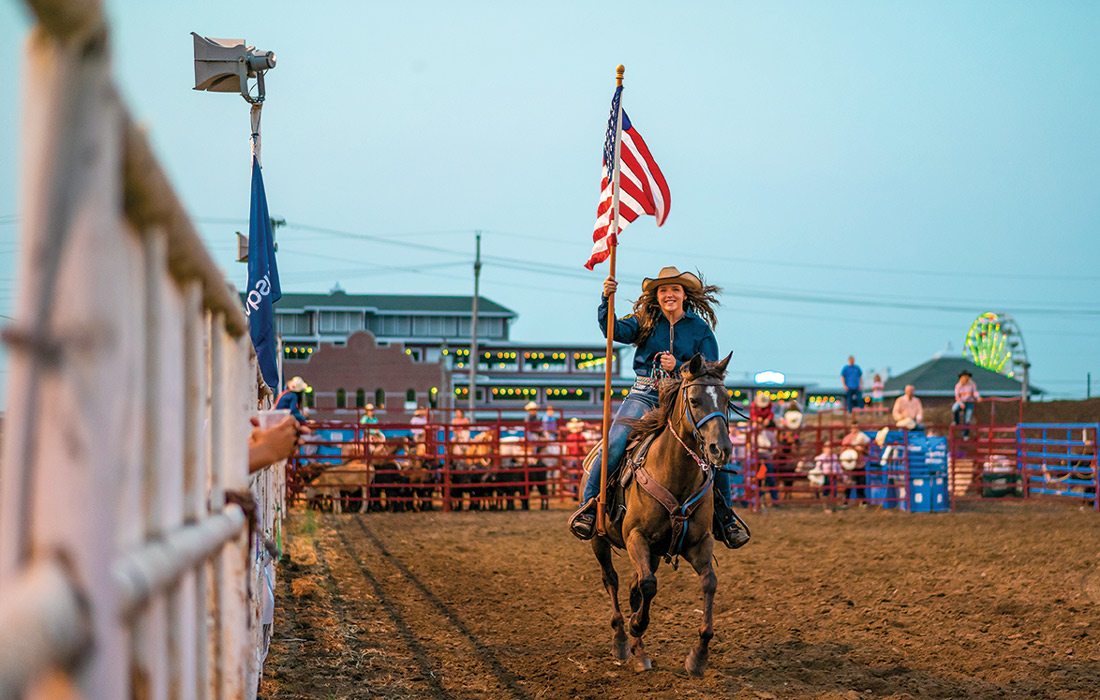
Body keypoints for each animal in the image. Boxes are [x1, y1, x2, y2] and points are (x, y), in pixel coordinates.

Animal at [589, 352, 734, 673]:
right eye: (694, 400)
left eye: (727, 400)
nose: (721, 449)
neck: (674, 474)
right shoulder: (636, 537)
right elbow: (647, 585)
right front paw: (636, 626)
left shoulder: (699, 543)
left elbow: (710, 583)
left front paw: (699, 655)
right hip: (599, 539)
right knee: (612, 580)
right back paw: (623, 641)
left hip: (654, 552)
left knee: (634, 585)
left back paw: (639, 650)